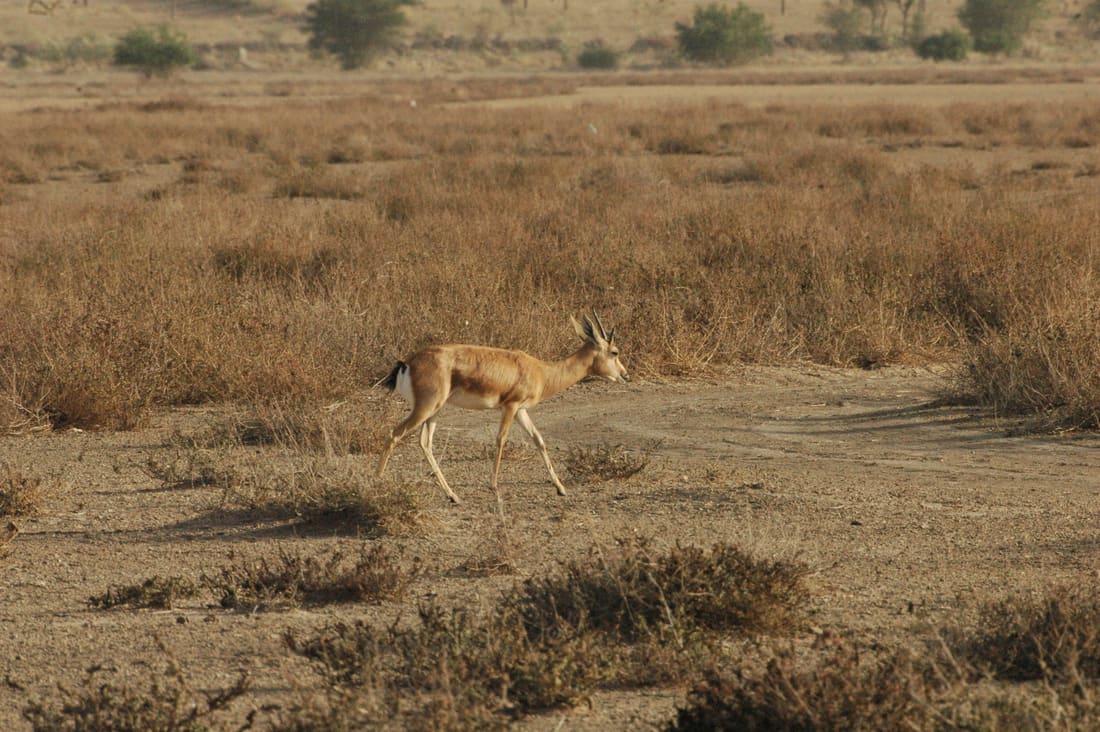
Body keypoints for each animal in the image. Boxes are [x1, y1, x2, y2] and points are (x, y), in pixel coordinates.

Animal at [376, 310, 629, 511]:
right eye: (614, 352)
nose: (625, 375)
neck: (542, 371)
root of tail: (408, 362)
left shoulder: (521, 410)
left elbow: (539, 440)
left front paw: (561, 488)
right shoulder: (511, 406)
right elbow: (500, 440)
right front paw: (494, 487)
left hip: (434, 412)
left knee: (425, 442)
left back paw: (453, 496)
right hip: (426, 408)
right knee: (394, 434)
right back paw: (376, 482)